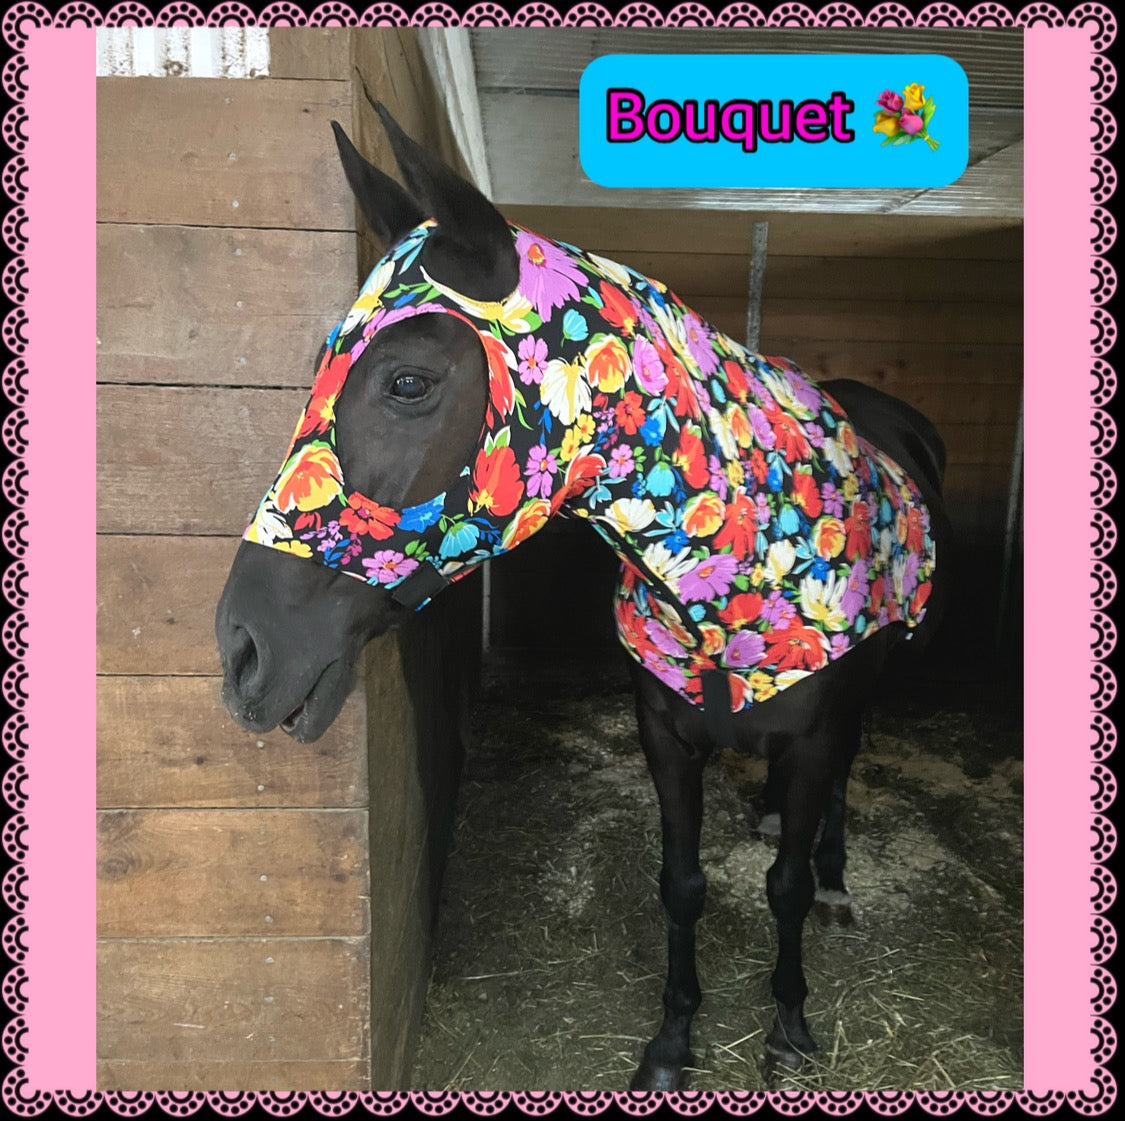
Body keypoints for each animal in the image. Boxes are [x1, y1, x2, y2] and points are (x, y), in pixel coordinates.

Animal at [216, 101, 952, 1092]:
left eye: (407, 381)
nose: (243, 648)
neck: (727, 583)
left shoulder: (810, 735)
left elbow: (785, 884)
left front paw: (788, 1021)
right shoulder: (665, 736)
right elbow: (681, 885)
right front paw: (671, 1041)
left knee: (838, 785)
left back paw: (834, 870)